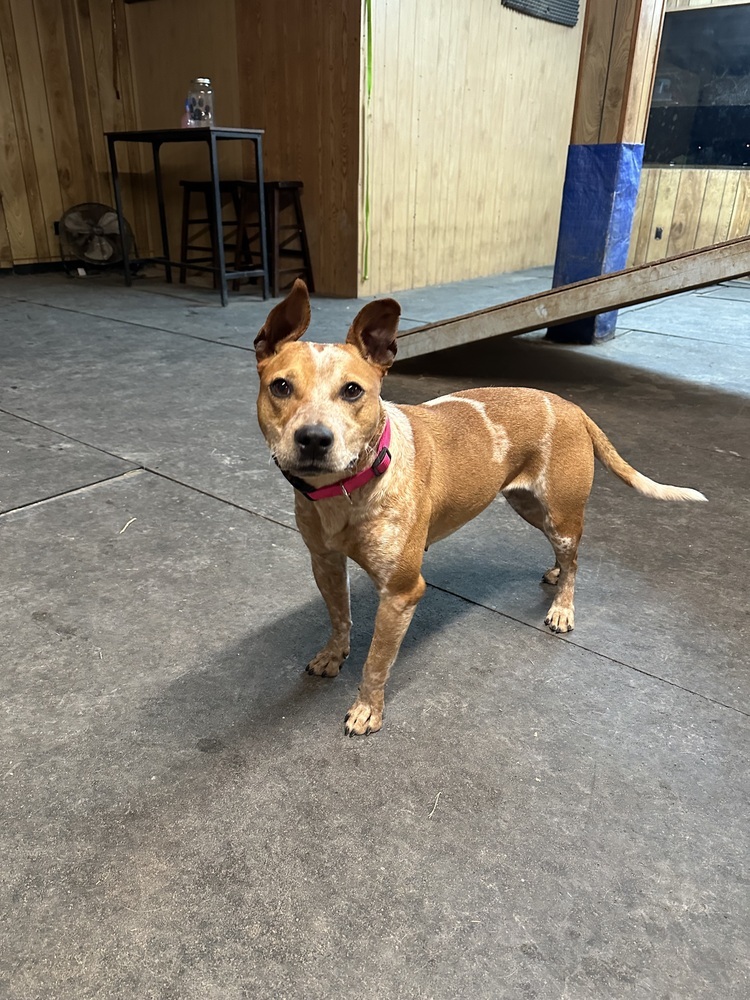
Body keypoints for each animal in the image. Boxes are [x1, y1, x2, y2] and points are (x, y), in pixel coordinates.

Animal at [256, 280, 708, 736]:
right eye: (280, 386)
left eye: (352, 390)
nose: (314, 438)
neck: (347, 490)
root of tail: (573, 408)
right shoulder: (326, 564)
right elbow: (340, 618)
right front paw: (334, 655)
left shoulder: (401, 592)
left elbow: (377, 662)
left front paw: (367, 708)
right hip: (530, 506)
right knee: (566, 555)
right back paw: (556, 573)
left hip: (561, 513)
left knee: (576, 560)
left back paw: (563, 608)